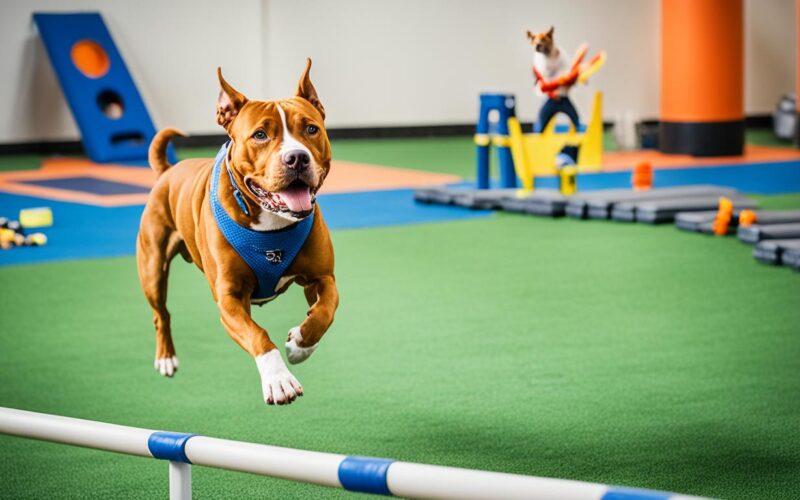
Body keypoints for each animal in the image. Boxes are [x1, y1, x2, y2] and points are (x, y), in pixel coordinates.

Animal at [138, 58, 338, 404]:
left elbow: (323, 312)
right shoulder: (229, 299)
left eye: (311, 128)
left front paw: (300, 344)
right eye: (260, 135)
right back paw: (166, 357)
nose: (297, 157)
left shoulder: (322, 277)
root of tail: (168, 171)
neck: (271, 220)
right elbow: (257, 334)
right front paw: (278, 379)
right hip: (152, 268)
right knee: (160, 313)